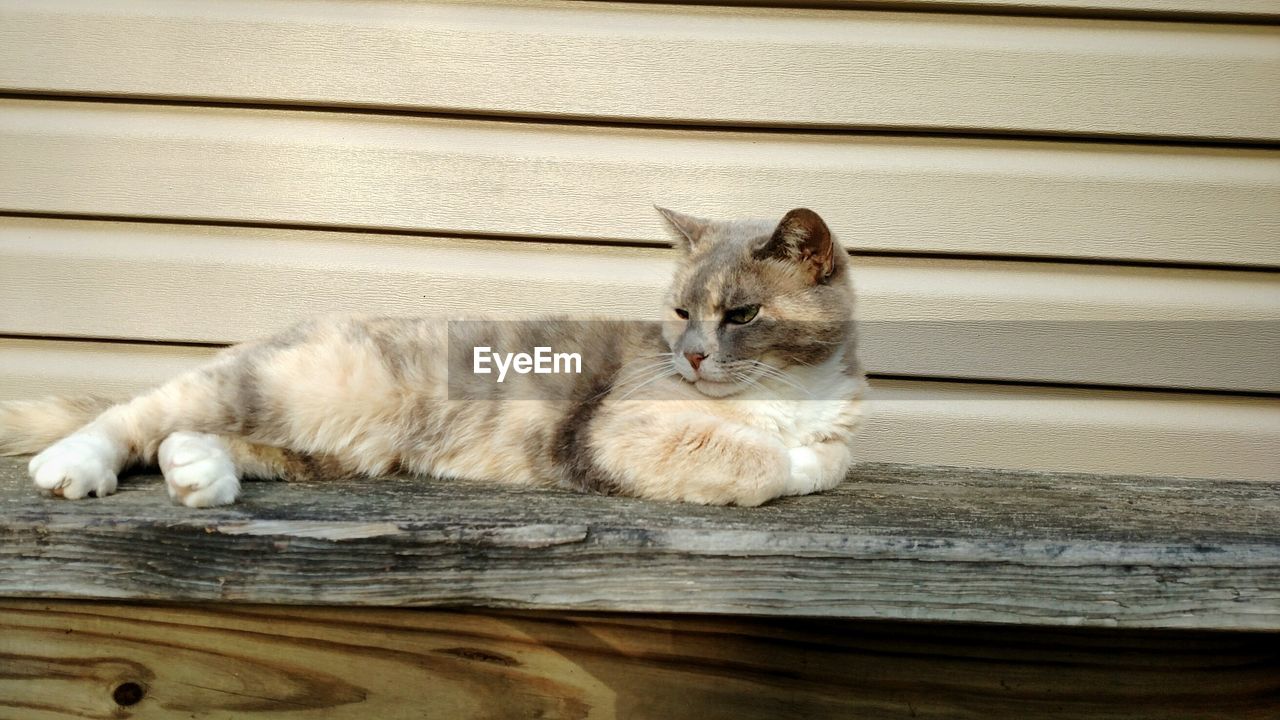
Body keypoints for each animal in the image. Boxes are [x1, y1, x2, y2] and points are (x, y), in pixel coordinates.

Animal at [0, 206, 865, 504]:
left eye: (742, 314)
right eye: (681, 311)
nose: (689, 357)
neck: (790, 391)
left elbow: (834, 457)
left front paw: (814, 456)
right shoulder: (624, 431)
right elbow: (756, 458)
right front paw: (785, 458)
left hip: (330, 448)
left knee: (203, 442)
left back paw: (197, 474)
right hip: (263, 384)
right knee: (133, 413)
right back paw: (74, 464)